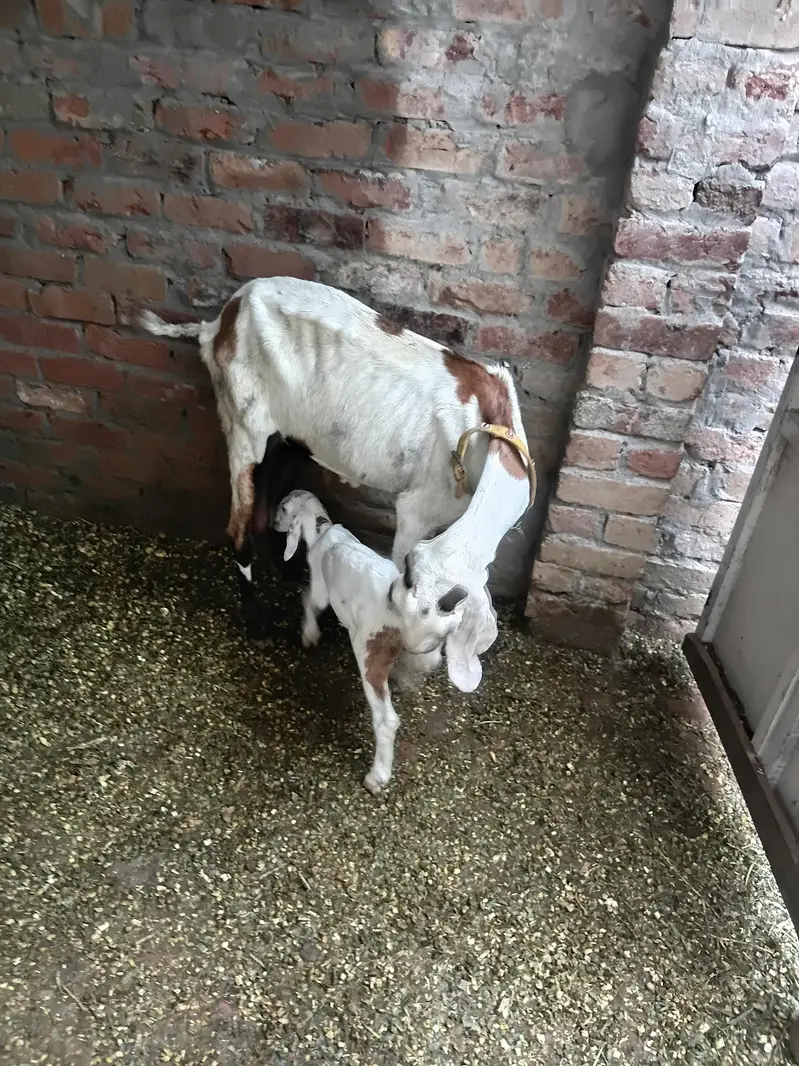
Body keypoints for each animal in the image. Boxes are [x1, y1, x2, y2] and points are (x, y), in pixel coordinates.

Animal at [140, 277, 533, 686]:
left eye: (443, 633)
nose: (404, 672)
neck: (489, 430)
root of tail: (219, 322)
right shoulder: (416, 510)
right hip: (243, 418)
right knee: (238, 523)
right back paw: (256, 623)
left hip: (290, 436)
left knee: (267, 503)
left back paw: (288, 570)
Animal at [274, 489, 462, 794]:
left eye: (282, 508)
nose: (274, 524)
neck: (323, 530)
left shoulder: (322, 590)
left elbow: (309, 600)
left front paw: (309, 634)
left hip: (369, 655)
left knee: (387, 721)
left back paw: (377, 776)